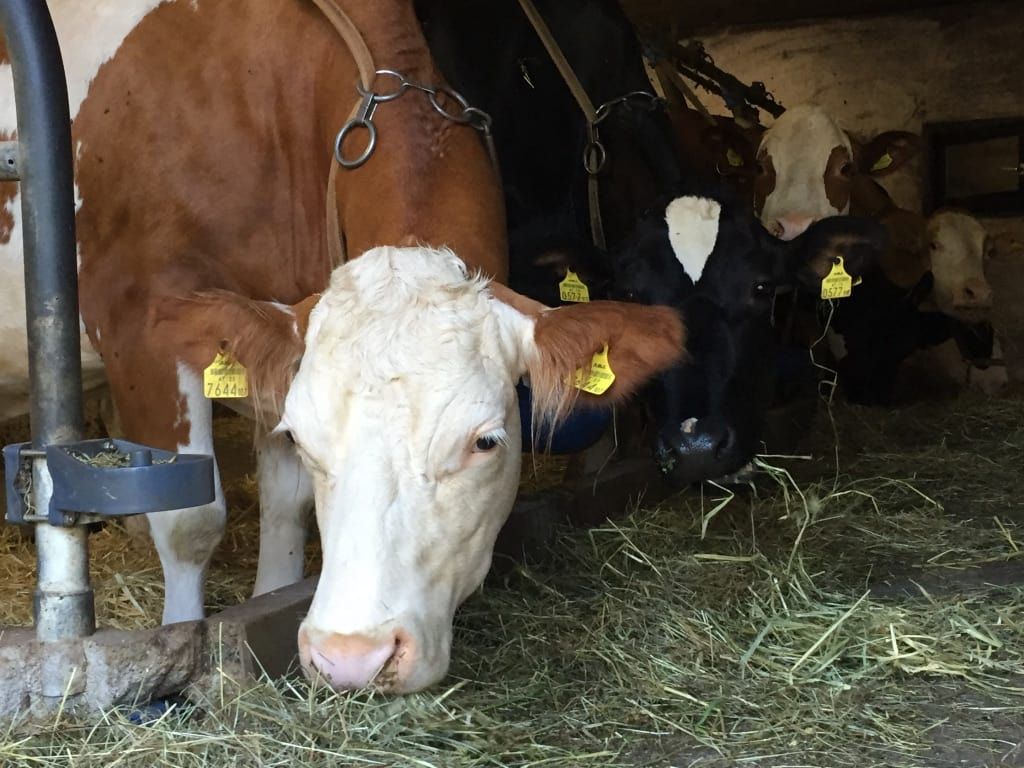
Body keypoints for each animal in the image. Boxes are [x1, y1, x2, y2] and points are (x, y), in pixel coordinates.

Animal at [0, 0, 685, 692]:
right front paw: (178, 644)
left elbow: (284, 506)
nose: (353, 656)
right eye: (309, 439)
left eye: (486, 442)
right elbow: (190, 520)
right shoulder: (141, 329)